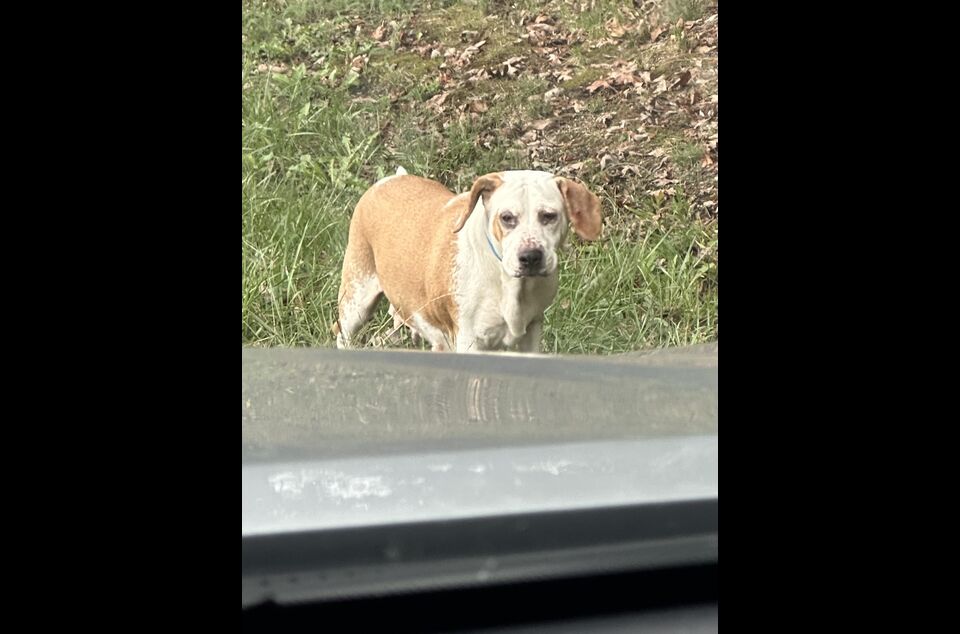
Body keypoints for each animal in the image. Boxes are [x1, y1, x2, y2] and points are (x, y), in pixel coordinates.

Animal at [334, 167, 602, 353]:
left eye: (549, 216)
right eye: (506, 217)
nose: (530, 257)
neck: (507, 284)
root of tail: (389, 180)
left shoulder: (532, 332)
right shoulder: (470, 341)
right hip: (356, 303)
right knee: (341, 333)